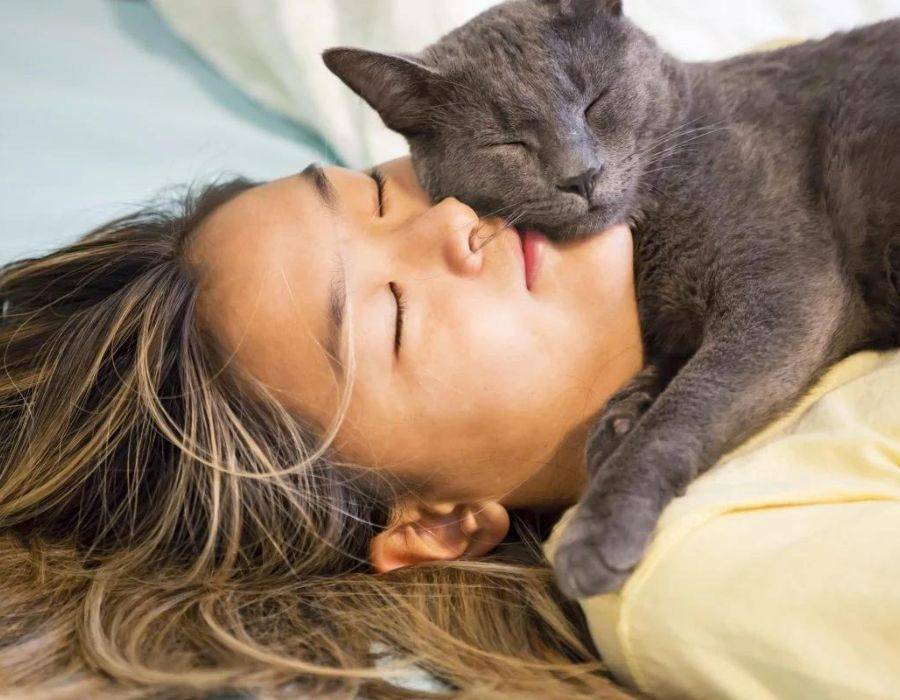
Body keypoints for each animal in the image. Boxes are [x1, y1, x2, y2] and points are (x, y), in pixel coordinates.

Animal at [324, 1, 900, 596]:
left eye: (595, 102)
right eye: (508, 142)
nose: (581, 174)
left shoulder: (782, 290)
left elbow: (686, 405)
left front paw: (598, 529)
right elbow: (668, 368)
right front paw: (620, 417)